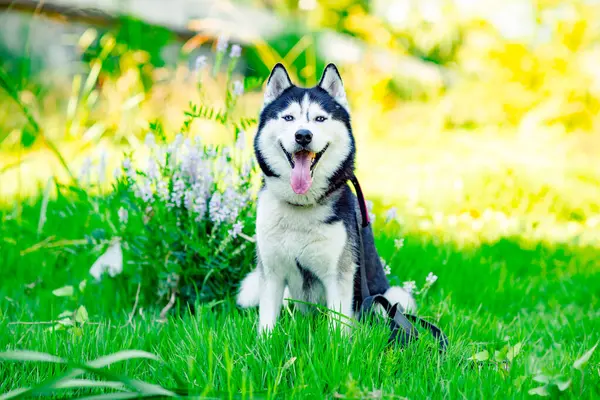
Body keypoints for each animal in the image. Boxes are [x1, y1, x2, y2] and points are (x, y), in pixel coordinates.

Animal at [237, 63, 414, 334]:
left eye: (320, 119)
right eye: (288, 118)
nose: (303, 135)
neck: (301, 207)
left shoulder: (339, 274)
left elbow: (337, 325)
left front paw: (337, 344)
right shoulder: (272, 272)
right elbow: (267, 322)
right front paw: (265, 342)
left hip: (392, 297)